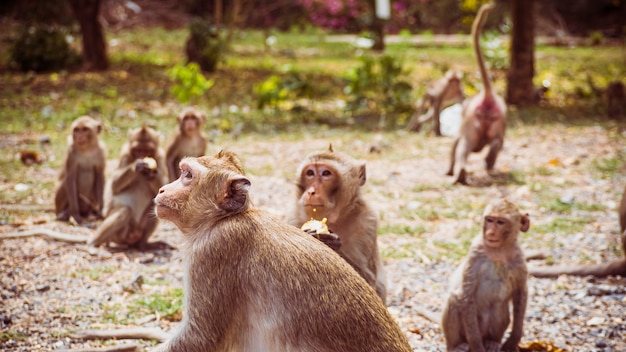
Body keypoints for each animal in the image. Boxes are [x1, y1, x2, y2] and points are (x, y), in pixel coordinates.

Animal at [288, 145, 386, 302]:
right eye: (310, 173)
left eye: (326, 173)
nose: (311, 192)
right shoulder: (292, 219)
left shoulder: (369, 221)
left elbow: (369, 280)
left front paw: (331, 244)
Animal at [442, 199, 528, 350]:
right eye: (489, 220)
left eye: (500, 222)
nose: (491, 233)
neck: (499, 251)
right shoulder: (476, 252)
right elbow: (466, 295)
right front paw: (476, 346)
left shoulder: (518, 257)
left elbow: (520, 292)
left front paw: (514, 339)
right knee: (454, 299)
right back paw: (456, 345)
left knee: (498, 307)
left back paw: (492, 341)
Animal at [444, 1, 508, 186]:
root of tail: (487, 97)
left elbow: (455, 144)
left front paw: (449, 170)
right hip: (497, 122)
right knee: (496, 143)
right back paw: (486, 163)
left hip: (472, 124)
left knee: (463, 146)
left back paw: (460, 172)